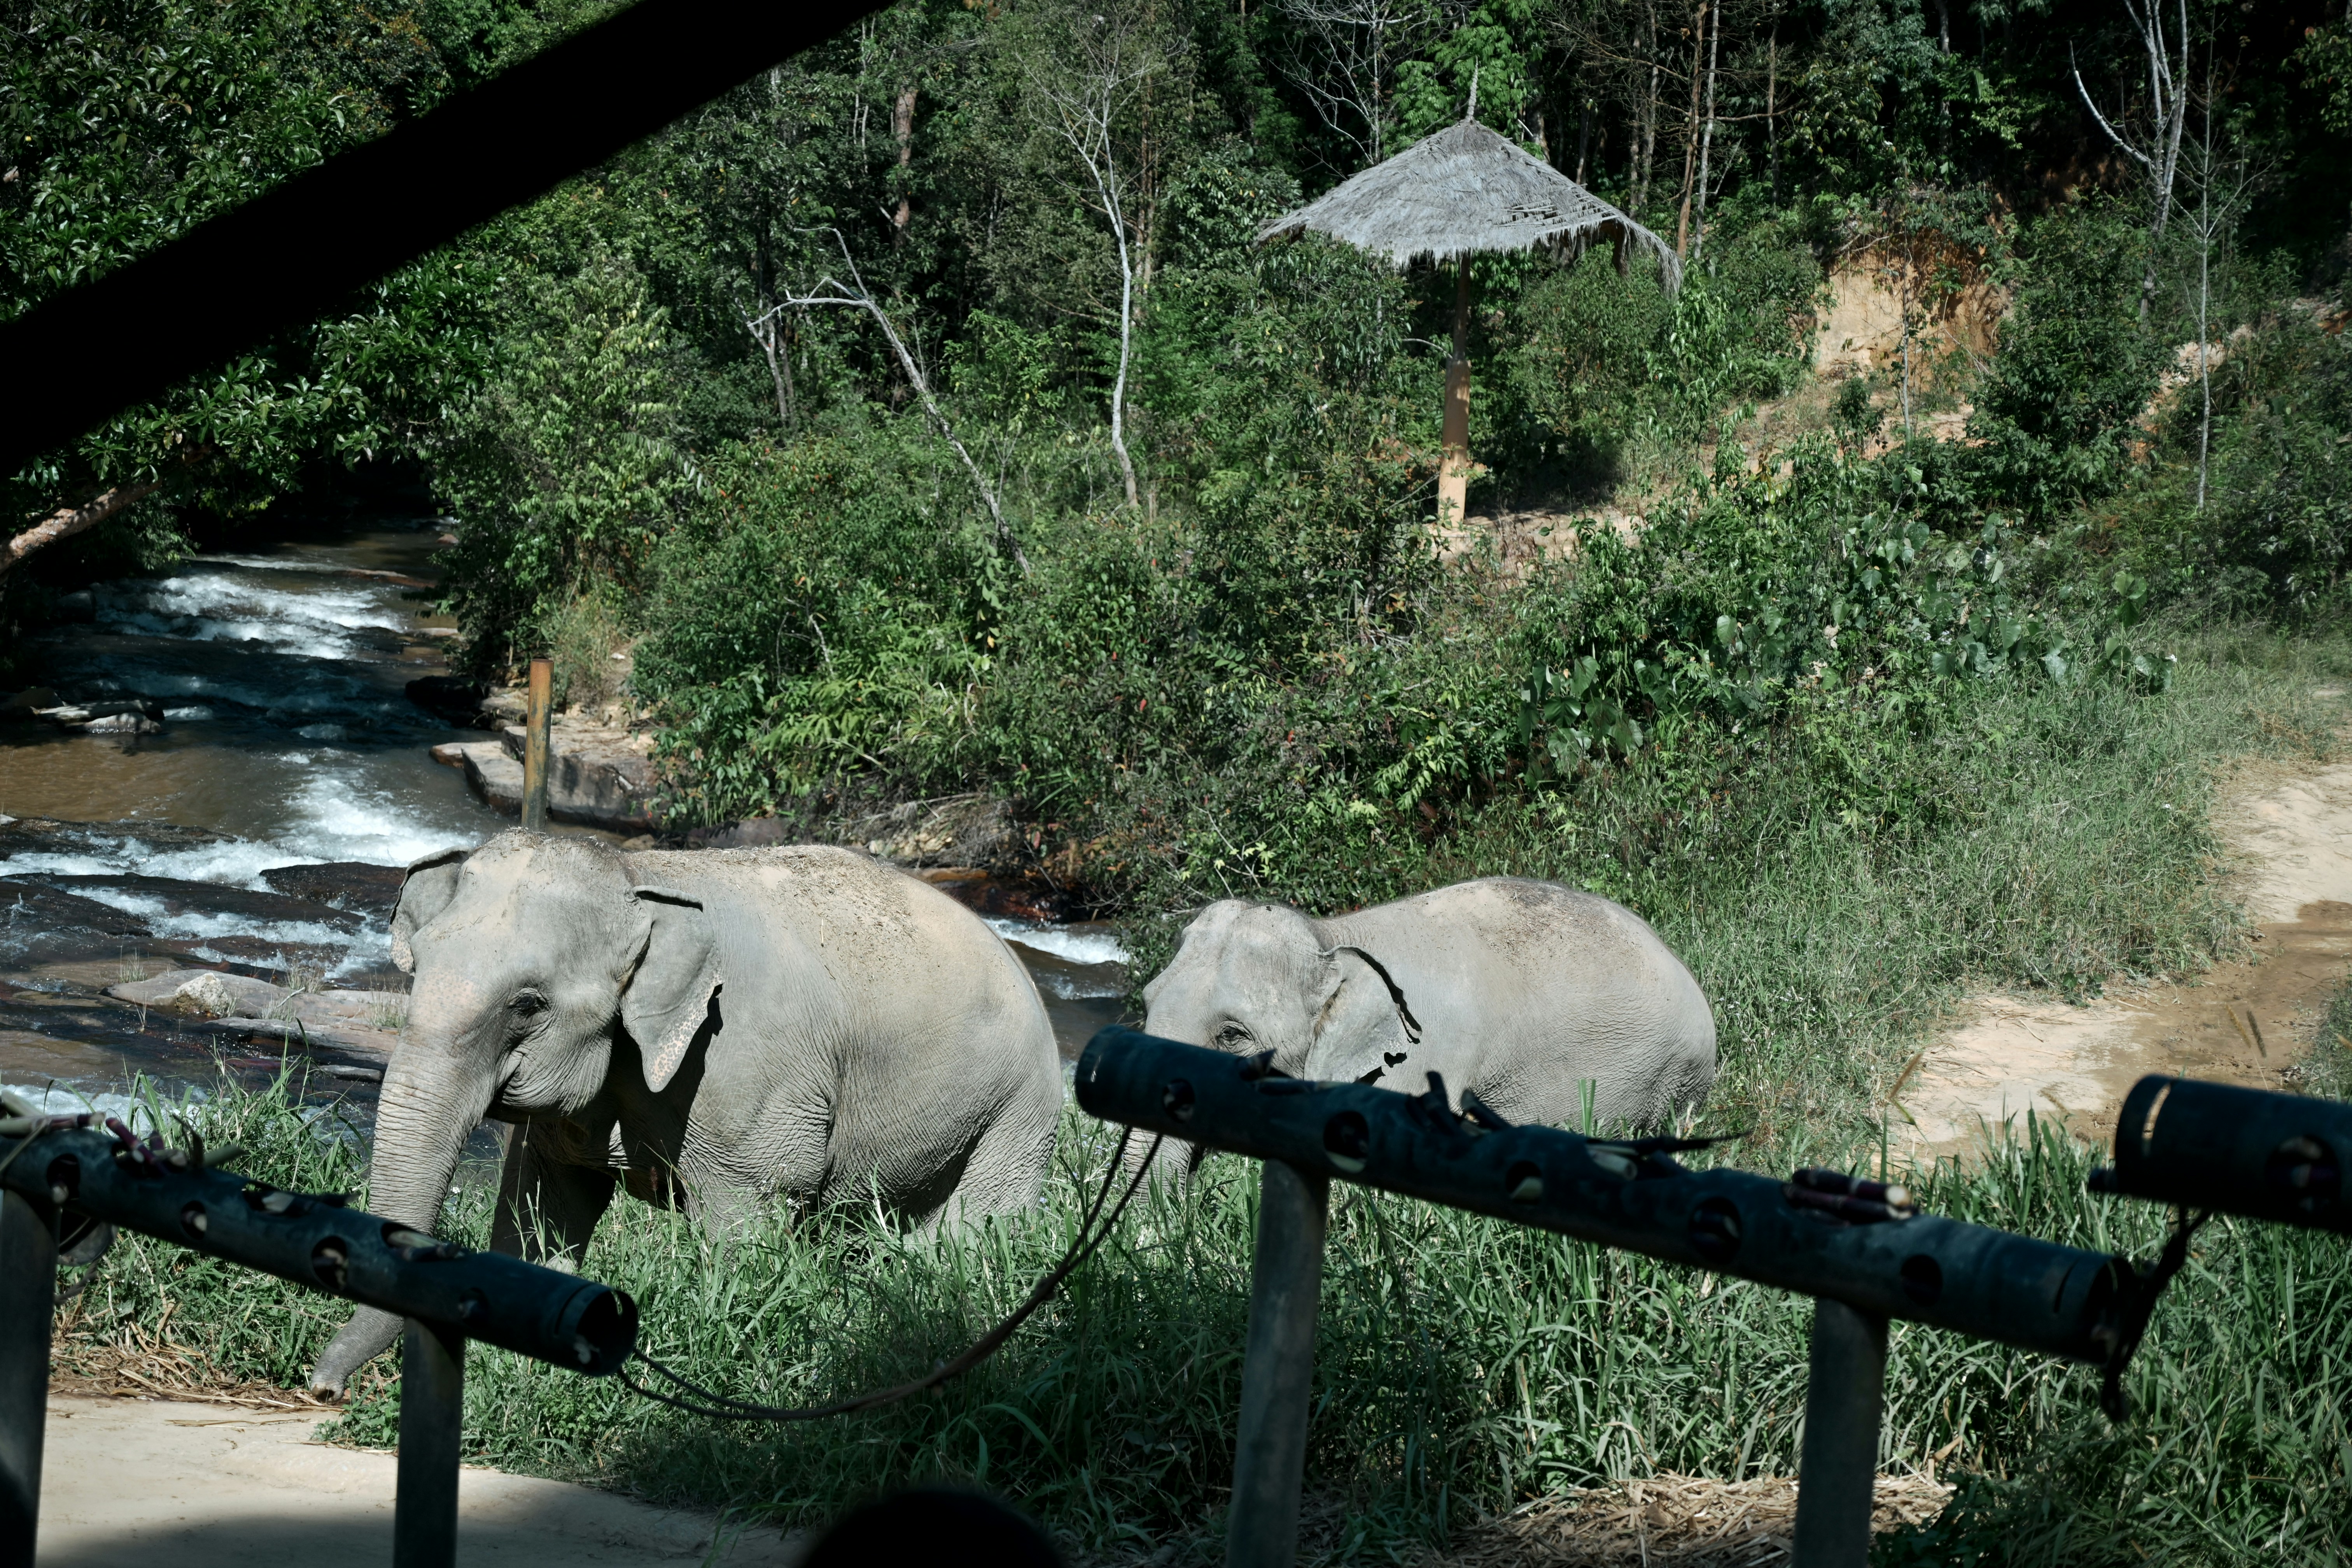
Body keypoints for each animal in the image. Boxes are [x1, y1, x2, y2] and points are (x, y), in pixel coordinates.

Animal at [309, 830, 1062, 1396]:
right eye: (415, 970)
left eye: (528, 1005)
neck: (639, 876)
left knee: (975, 1231)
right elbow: (545, 1199)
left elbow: (752, 1211)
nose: (324, 1388)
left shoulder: (748, 1075)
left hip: (1017, 1112)